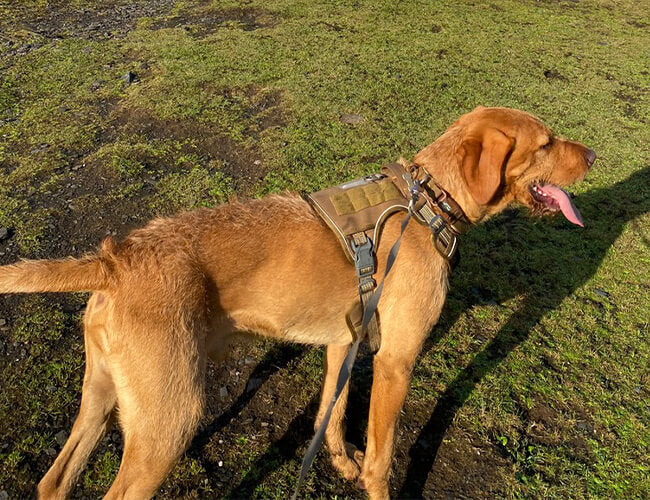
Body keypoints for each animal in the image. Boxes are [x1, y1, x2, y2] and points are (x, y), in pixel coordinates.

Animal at [0, 106, 595, 499]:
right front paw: (370, 477)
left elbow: (331, 417)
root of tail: (117, 258)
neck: (428, 201)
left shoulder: (344, 343)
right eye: (546, 143)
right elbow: (382, 457)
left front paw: (341, 463)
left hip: (102, 398)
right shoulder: (395, 362)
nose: (593, 154)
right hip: (169, 421)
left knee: (53, 482)